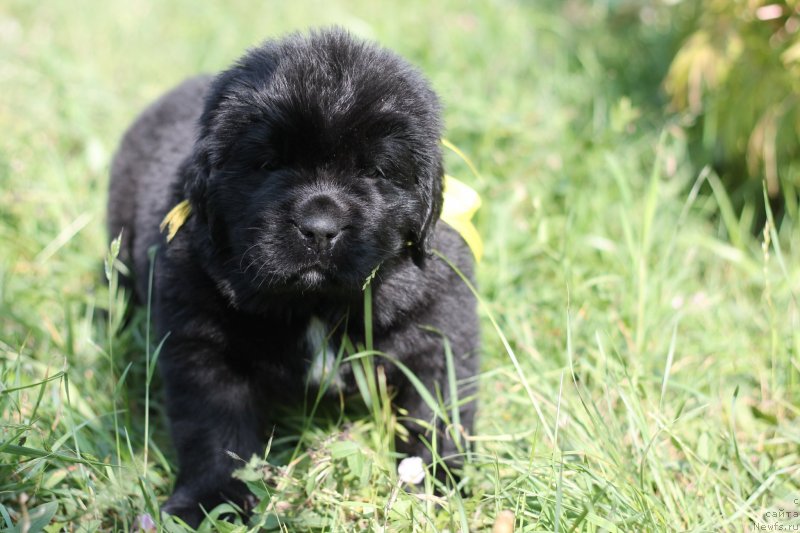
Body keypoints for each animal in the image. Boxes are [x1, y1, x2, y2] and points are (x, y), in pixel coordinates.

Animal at [108, 28, 478, 524]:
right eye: (268, 164)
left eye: (375, 171)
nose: (319, 228)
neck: (315, 304)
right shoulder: (204, 345)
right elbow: (214, 429)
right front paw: (208, 500)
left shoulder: (439, 327)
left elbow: (439, 407)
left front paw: (440, 483)